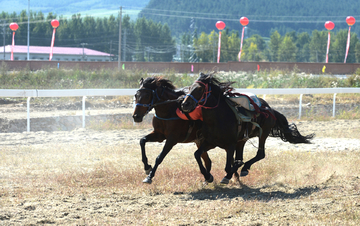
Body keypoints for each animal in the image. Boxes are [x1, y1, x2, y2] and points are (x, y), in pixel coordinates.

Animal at [181, 72, 314, 184]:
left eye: (199, 89)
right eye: (189, 88)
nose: (184, 104)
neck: (218, 118)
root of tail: (270, 109)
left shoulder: (230, 144)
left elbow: (228, 166)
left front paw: (229, 174)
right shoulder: (210, 142)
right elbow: (197, 154)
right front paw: (208, 176)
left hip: (263, 133)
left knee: (260, 154)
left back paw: (245, 167)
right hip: (243, 140)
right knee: (243, 155)